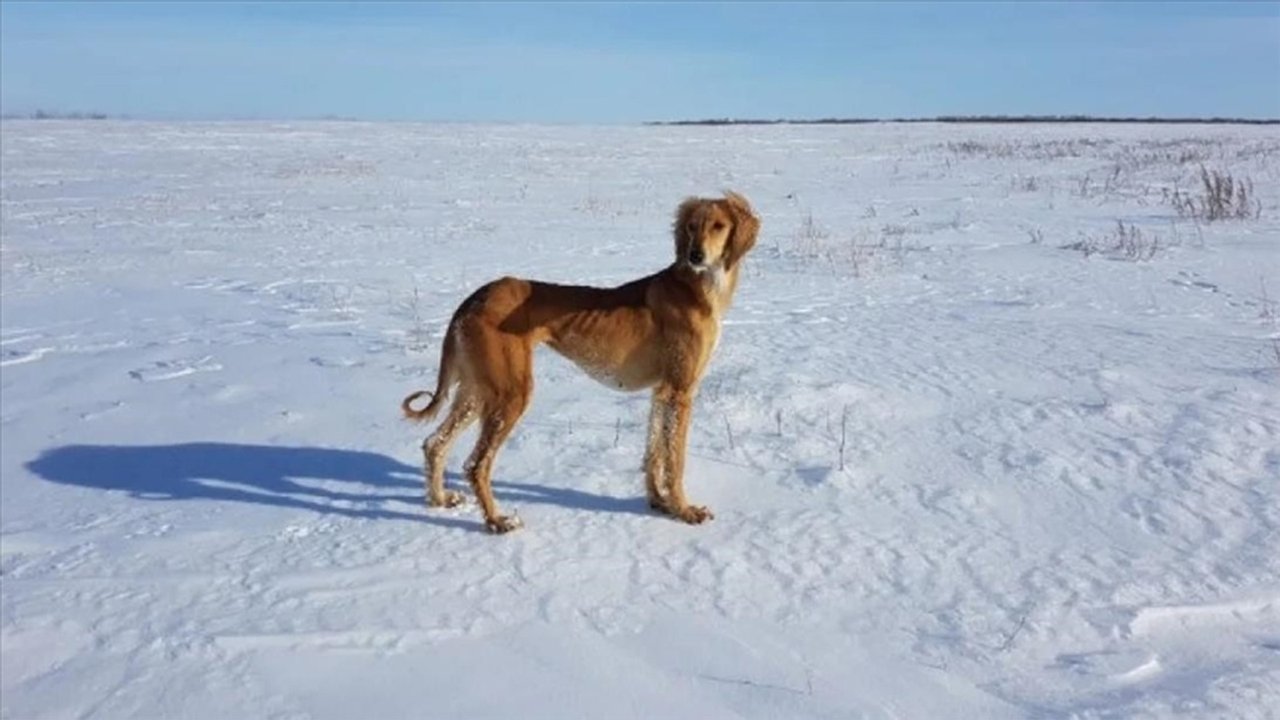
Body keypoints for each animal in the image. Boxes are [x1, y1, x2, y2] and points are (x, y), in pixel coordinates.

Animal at [401, 190, 757, 532]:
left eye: (718, 226)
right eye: (692, 226)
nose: (696, 256)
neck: (697, 288)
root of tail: (473, 298)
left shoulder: (662, 392)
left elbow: (654, 452)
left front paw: (659, 502)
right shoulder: (680, 392)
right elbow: (675, 460)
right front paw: (684, 510)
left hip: (478, 390)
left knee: (434, 443)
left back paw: (439, 499)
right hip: (511, 393)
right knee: (476, 464)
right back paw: (497, 521)